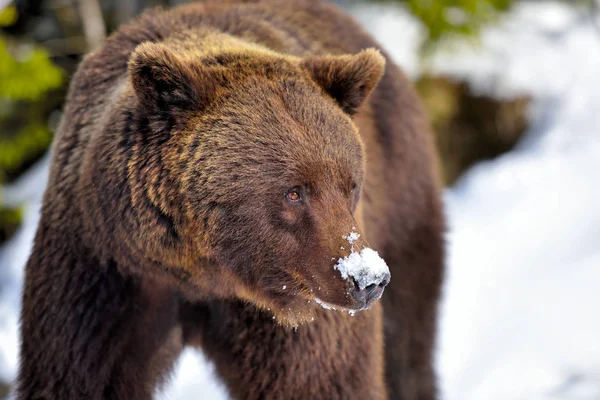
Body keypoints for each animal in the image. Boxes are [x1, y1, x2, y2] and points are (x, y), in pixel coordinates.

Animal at [17, 0, 446, 400]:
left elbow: (322, 378)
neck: (201, 274)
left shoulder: (292, 308)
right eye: (294, 191)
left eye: (349, 185)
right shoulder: (103, 273)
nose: (367, 279)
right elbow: (76, 373)